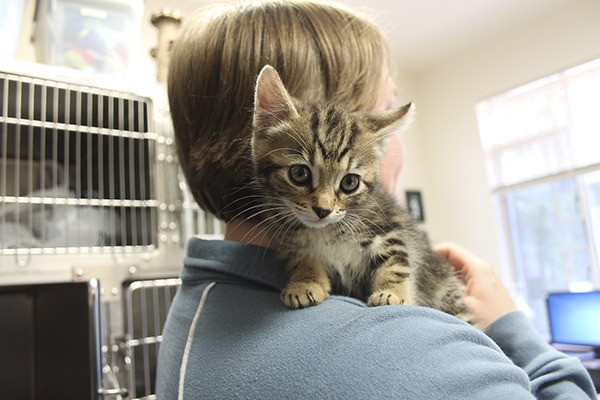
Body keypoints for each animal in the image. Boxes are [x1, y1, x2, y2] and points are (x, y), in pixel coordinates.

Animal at [250, 64, 474, 324]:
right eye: (299, 173)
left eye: (349, 182)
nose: (323, 210)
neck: (324, 231)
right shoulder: (287, 239)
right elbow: (301, 259)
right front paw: (305, 282)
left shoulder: (388, 227)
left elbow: (397, 262)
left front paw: (392, 293)